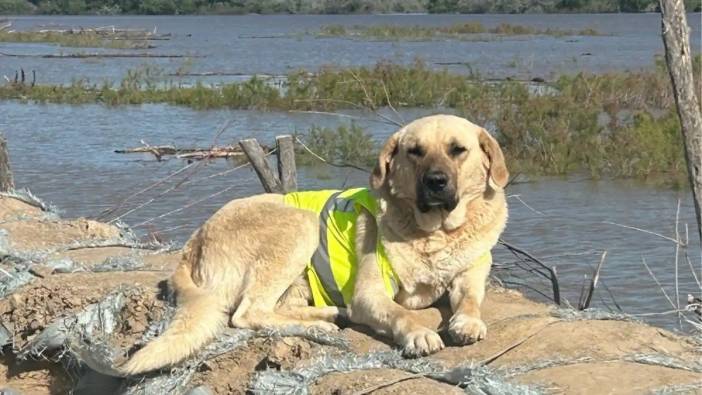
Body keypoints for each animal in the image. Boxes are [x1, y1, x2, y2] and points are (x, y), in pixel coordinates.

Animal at [119, 113, 506, 374]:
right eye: (415, 152)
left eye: (458, 150)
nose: (436, 182)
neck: (435, 234)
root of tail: (194, 243)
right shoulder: (370, 294)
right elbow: (399, 312)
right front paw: (418, 334)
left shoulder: (470, 275)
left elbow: (471, 299)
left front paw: (467, 322)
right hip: (299, 224)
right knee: (248, 313)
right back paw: (316, 326)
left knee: (272, 307)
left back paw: (327, 314)